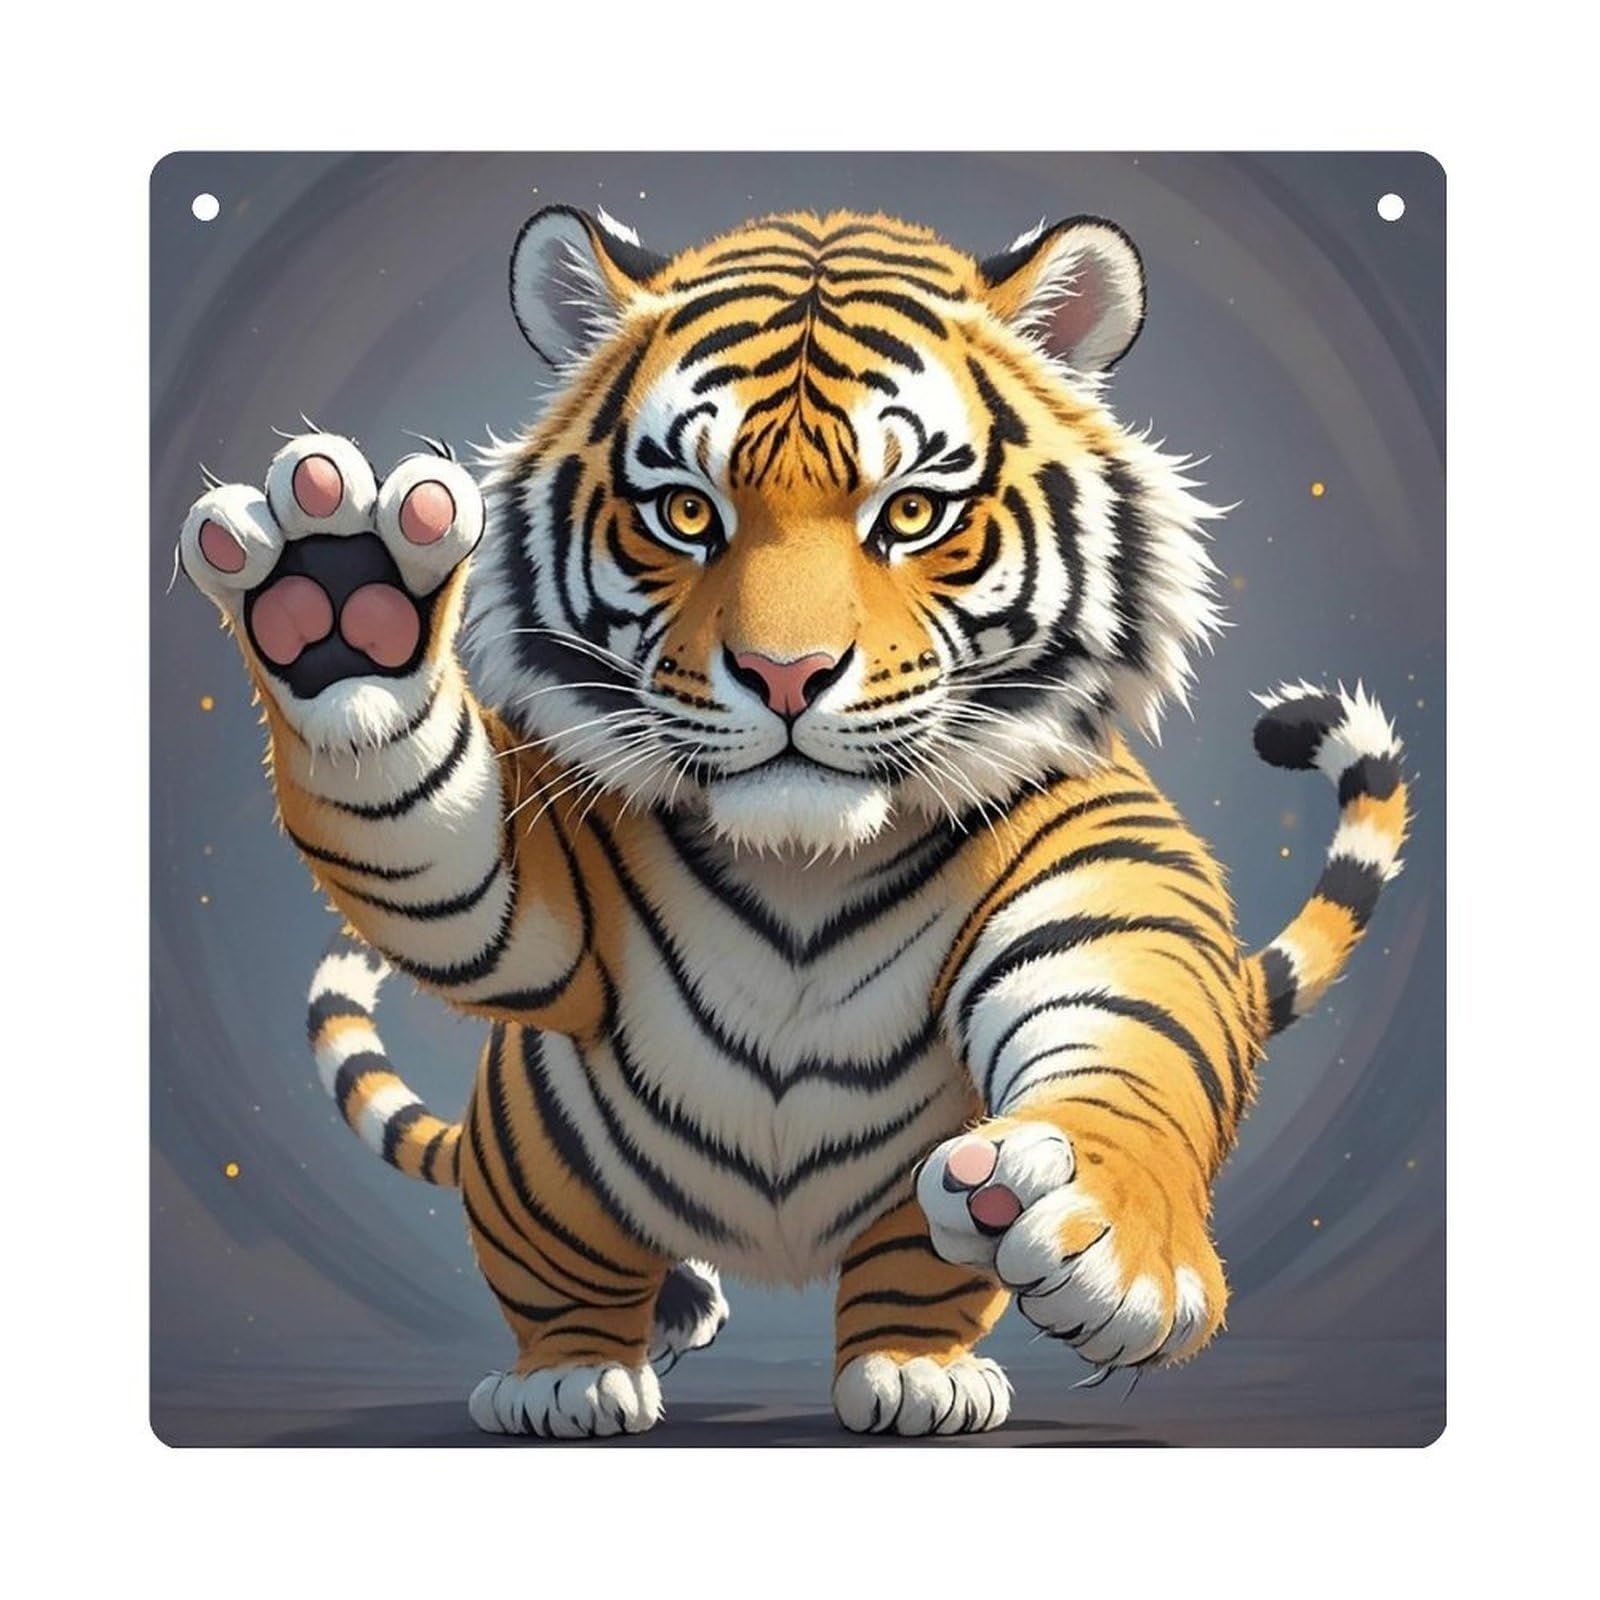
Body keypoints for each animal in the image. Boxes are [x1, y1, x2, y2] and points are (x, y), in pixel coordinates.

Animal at [178, 204, 1409, 1439]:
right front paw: (340, 596)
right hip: (541, 1173)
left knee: (908, 1277)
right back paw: (574, 1373)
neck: (804, 860)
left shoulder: (1100, 868)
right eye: (687, 511)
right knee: (568, 1280)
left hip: (900, 1209)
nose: (784, 674)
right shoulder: (540, 879)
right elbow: (433, 844)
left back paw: (917, 1370)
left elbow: (1135, 1025)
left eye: (910, 511)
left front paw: (1100, 1237)